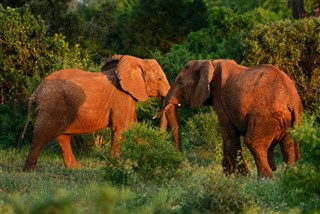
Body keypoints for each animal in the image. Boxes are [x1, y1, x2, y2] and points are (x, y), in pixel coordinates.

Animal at [20, 54, 171, 171]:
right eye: (159, 79)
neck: (137, 61)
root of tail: (36, 92)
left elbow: (132, 126)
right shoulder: (122, 96)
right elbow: (121, 128)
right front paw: (115, 164)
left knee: (63, 136)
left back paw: (76, 168)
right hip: (51, 106)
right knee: (41, 136)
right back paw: (29, 170)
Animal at [162, 59, 302, 178]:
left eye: (180, 82)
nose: (180, 159)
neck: (208, 62)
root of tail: (291, 99)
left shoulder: (220, 97)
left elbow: (228, 134)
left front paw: (237, 176)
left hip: (266, 116)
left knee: (253, 142)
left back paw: (263, 180)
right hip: (290, 119)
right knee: (288, 144)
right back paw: (290, 176)